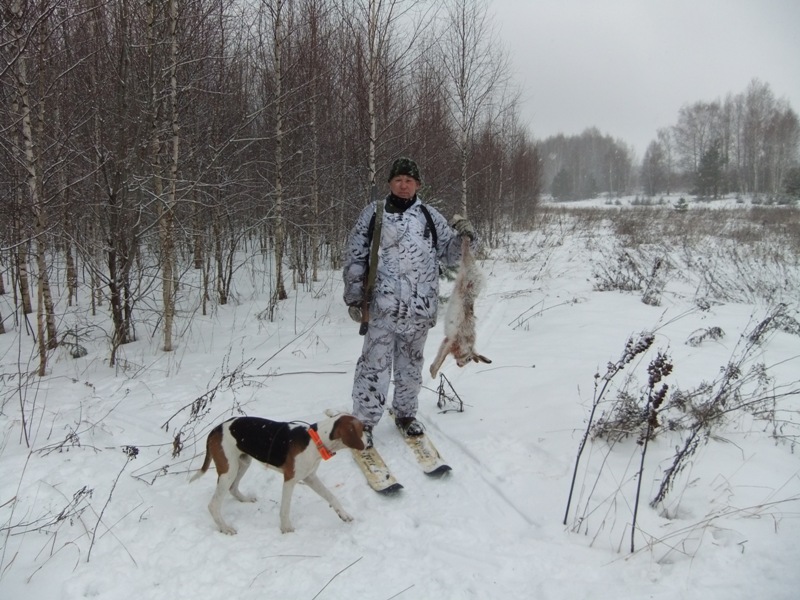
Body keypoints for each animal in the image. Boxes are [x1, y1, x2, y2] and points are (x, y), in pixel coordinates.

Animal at [192, 412, 368, 536]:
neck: (314, 440)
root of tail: (215, 429)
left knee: (233, 488)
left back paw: (245, 499)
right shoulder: (290, 480)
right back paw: (225, 528)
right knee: (213, 505)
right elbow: (285, 508)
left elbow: (331, 496)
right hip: (229, 470)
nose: (369, 443)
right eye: (362, 429)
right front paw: (286, 529)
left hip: (243, 462)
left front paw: (344, 515)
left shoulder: (310, 477)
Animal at [428, 237, 490, 378]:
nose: (459, 365)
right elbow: (442, 358)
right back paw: (466, 237)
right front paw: (433, 373)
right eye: (468, 359)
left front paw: (431, 370)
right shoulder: (453, 341)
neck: (466, 346)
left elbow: (440, 355)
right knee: (466, 252)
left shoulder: (446, 340)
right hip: (467, 276)